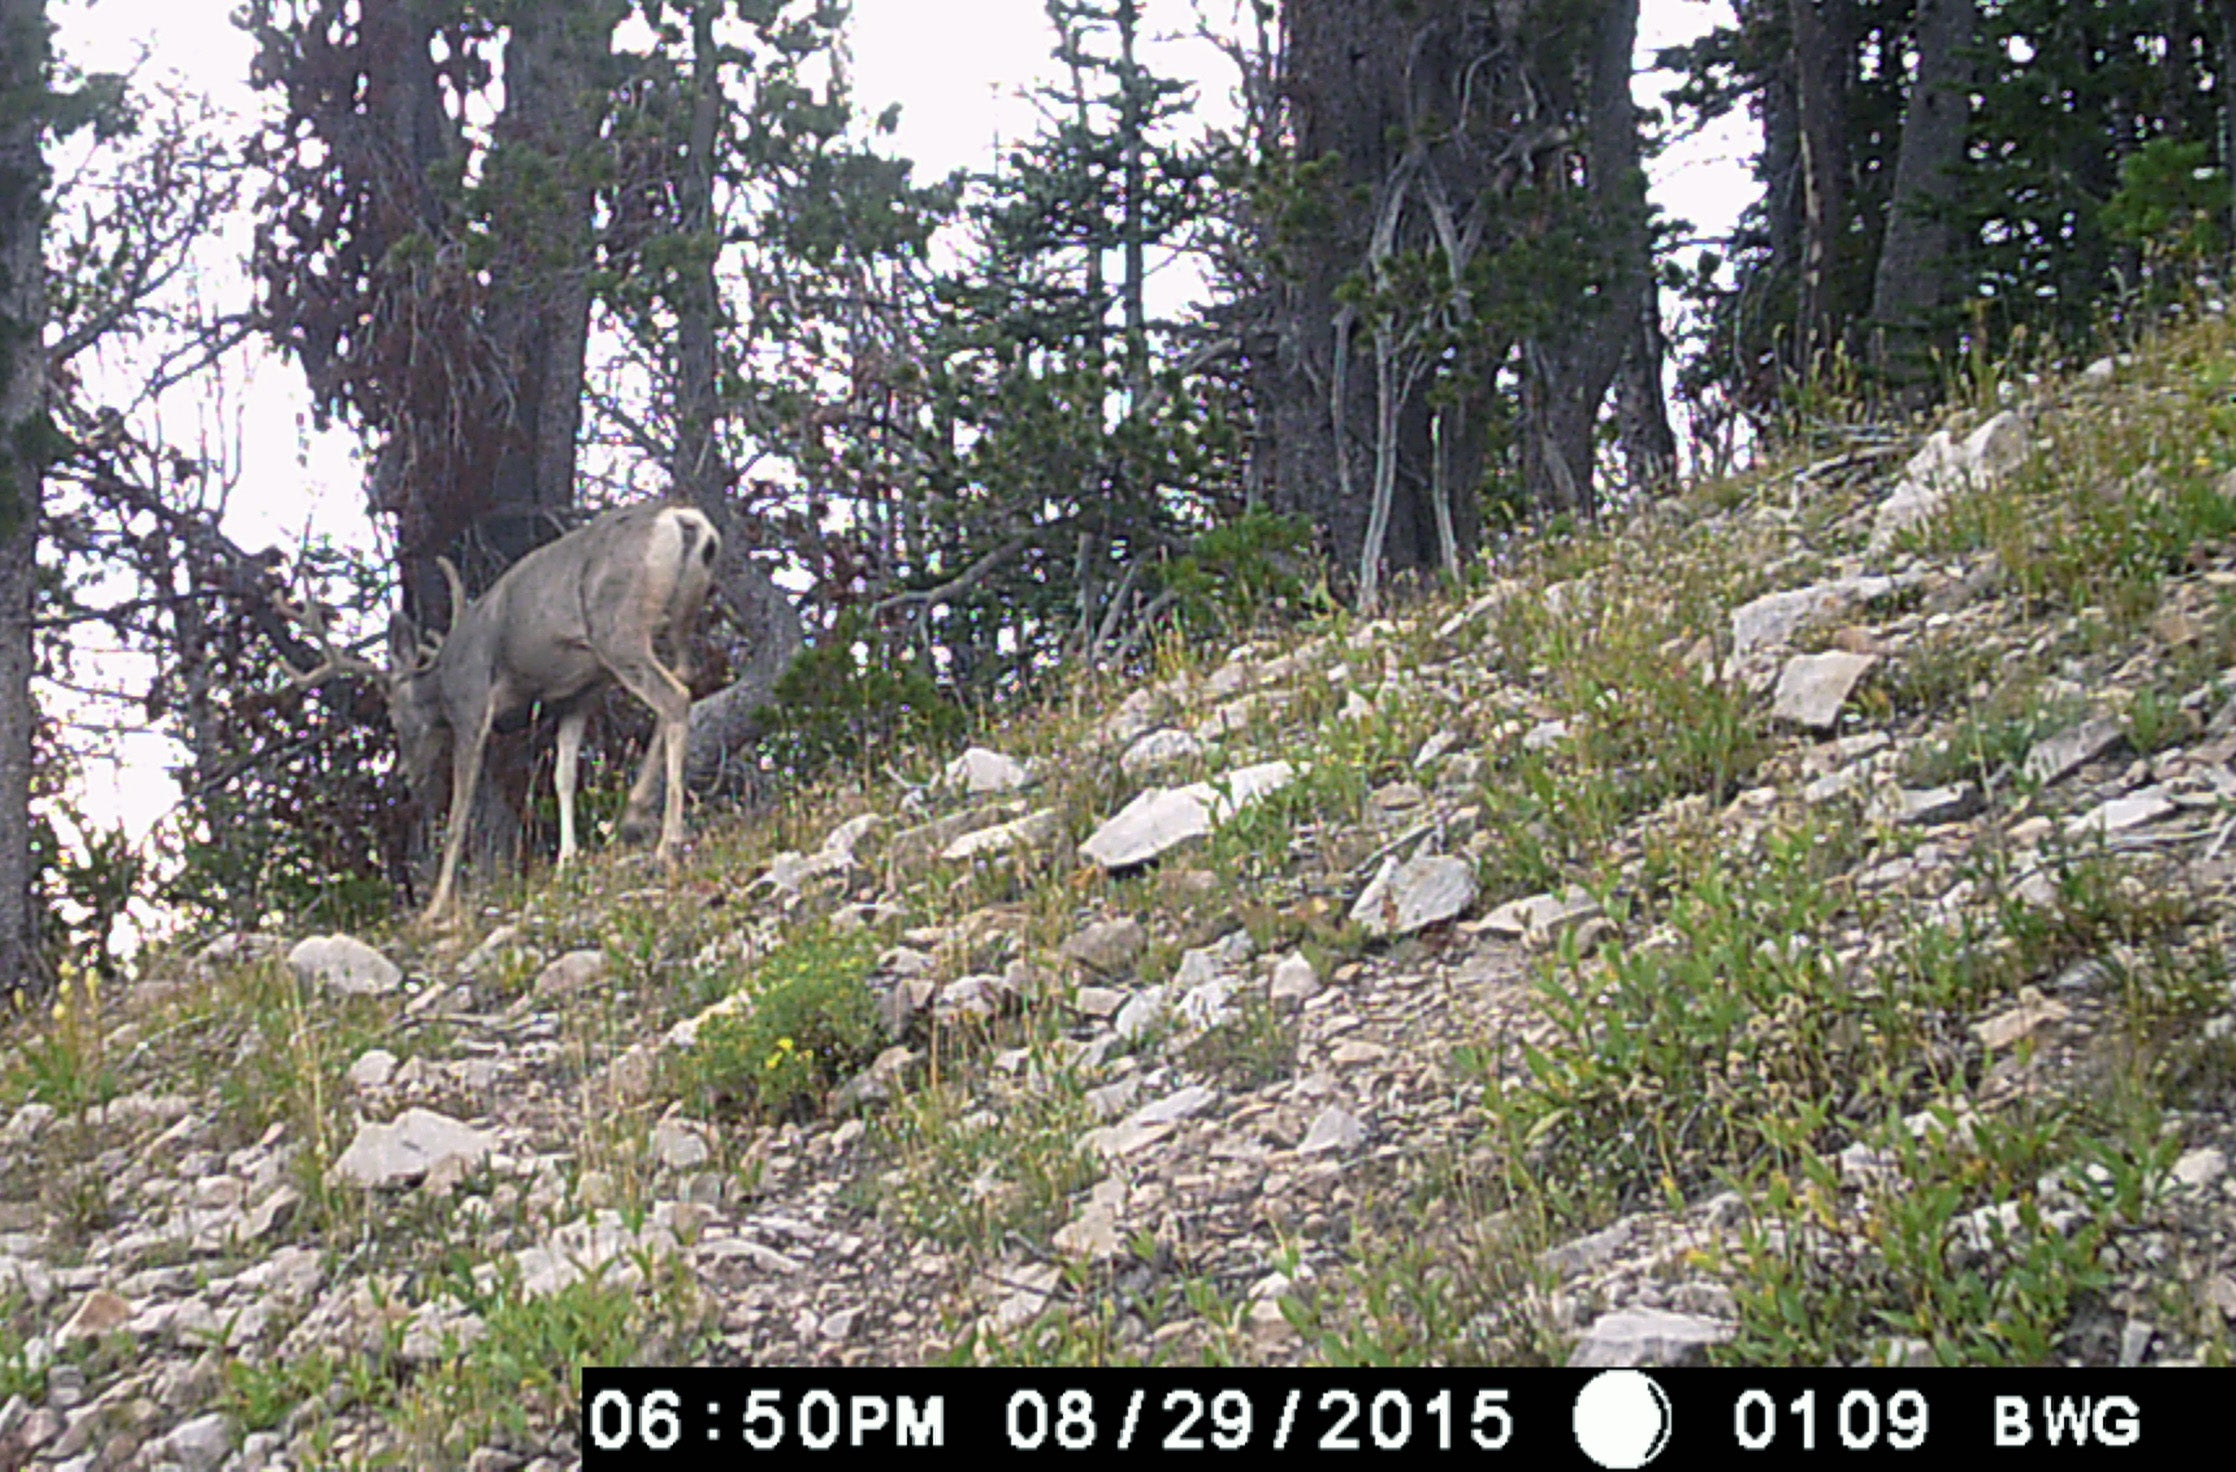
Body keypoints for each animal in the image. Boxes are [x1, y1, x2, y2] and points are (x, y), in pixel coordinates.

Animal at [279, 505, 715, 917]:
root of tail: (682, 519)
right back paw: (636, 814)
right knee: (686, 678)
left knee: (675, 697)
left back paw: (667, 842)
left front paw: (436, 905)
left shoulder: (471, 705)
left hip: (619, 629)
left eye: (394, 715)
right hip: (673, 624)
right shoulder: (577, 694)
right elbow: (564, 776)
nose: (404, 774)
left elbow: (460, 812)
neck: (443, 678)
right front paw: (566, 860)